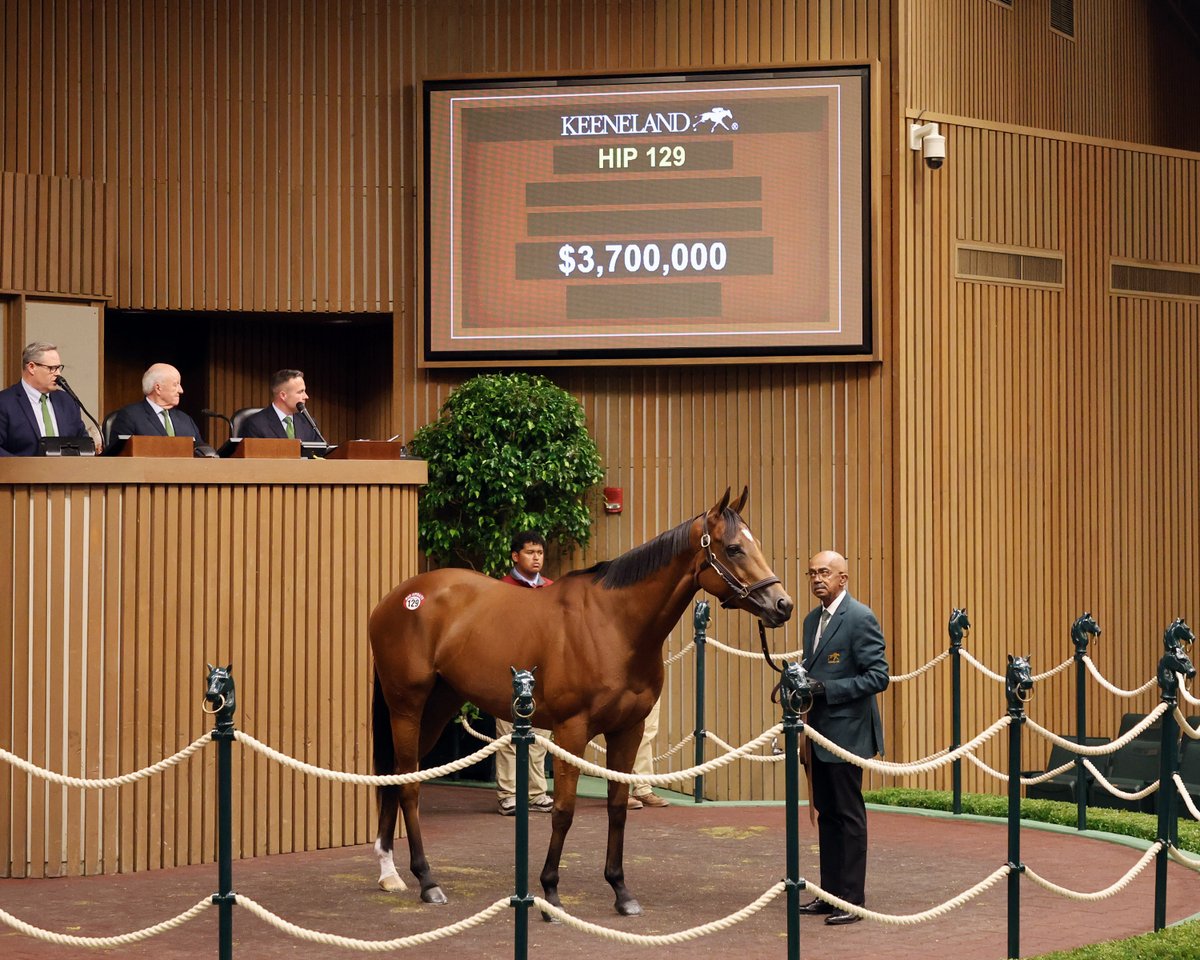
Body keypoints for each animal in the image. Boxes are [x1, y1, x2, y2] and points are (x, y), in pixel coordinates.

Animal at [369, 487, 794, 916]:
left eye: (755, 544)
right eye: (734, 548)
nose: (782, 604)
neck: (614, 624)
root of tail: (397, 598)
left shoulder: (628, 730)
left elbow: (618, 807)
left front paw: (621, 890)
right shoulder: (571, 731)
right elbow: (564, 810)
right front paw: (550, 892)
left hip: (437, 708)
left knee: (396, 777)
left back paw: (390, 873)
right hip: (407, 706)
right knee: (408, 785)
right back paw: (426, 881)